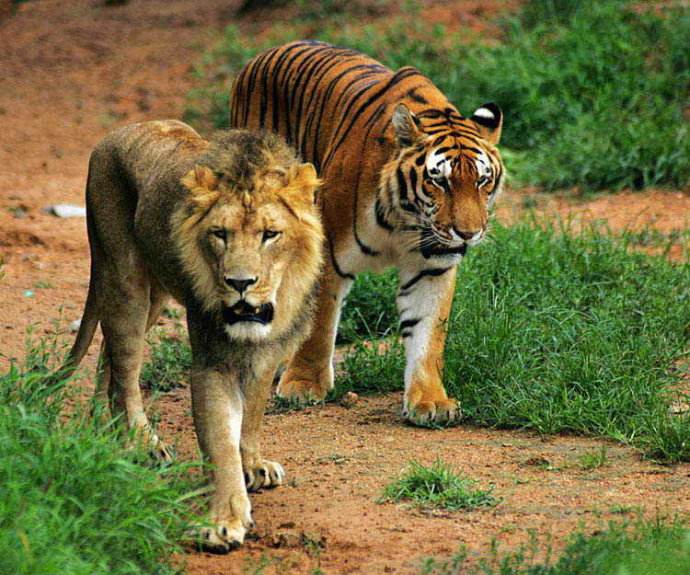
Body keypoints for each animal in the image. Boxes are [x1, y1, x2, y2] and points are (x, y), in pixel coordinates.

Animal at [230, 40, 504, 425]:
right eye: (440, 181)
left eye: (482, 180)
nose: (468, 233)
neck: (406, 220)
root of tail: (261, 56)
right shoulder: (329, 253)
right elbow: (319, 323)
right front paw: (303, 384)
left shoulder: (433, 266)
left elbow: (428, 332)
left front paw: (430, 401)